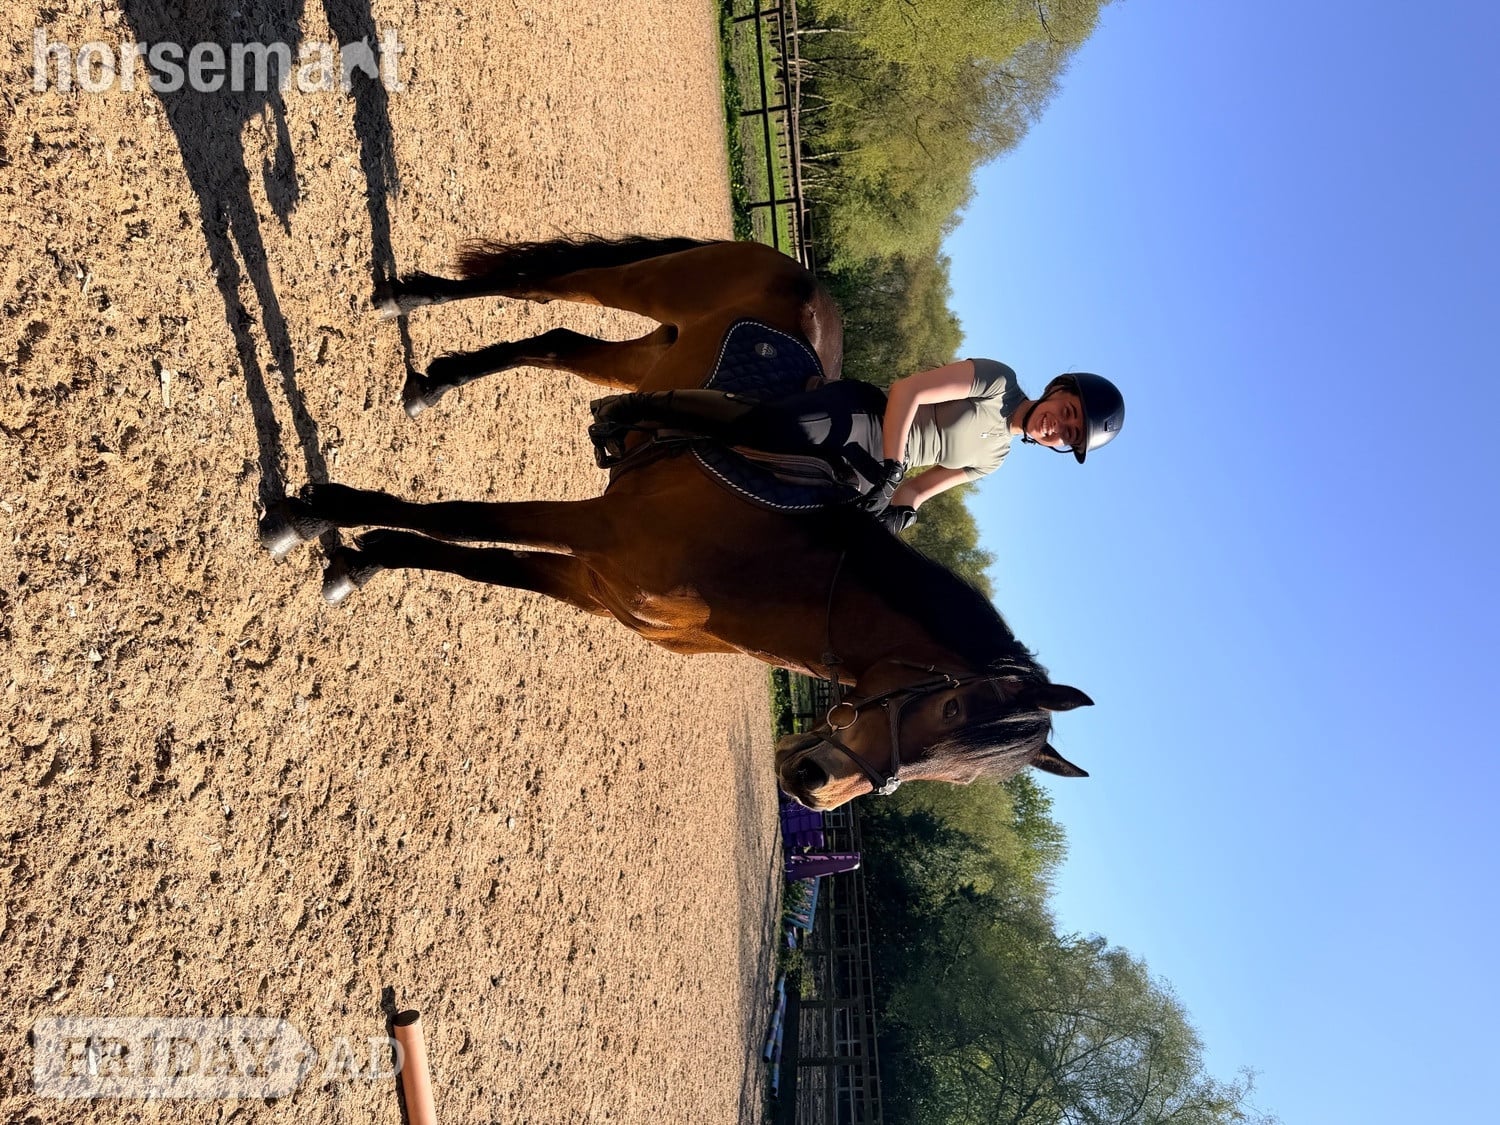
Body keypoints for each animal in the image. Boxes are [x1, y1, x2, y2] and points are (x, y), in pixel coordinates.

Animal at [260, 236, 1094, 809]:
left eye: (958, 778)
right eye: (950, 707)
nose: (812, 784)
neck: (768, 563)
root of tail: (803, 277)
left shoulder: (592, 576)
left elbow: (469, 556)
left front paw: (360, 557)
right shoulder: (596, 532)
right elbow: (459, 517)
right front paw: (319, 516)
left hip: (648, 354)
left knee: (556, 342)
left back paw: (436, 381)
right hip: (639, 288)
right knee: (542, 288)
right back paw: (405, 300)